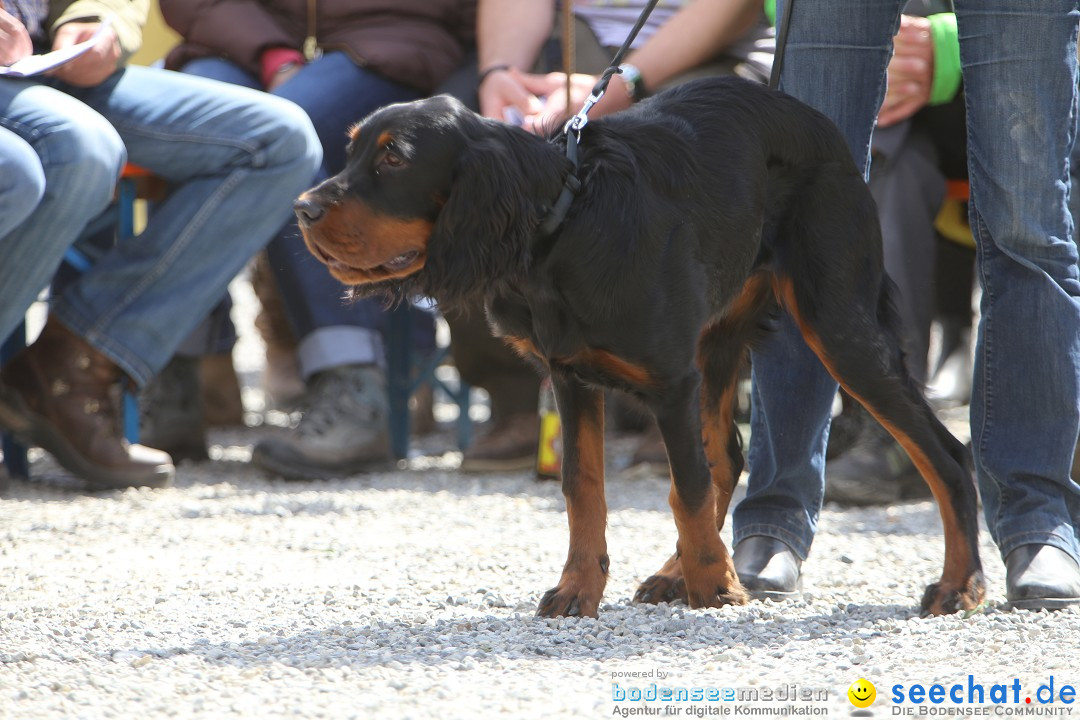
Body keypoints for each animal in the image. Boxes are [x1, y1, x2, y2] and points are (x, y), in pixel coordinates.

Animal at [291, 78, 984, 621]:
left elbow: (686, 487)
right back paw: (677, 573)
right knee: (726, 455)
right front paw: (580, 589)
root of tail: (829, 133)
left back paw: (961, 585)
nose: (301, 208)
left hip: (836, 324)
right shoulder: (572, 377)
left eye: (394, 159)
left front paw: (715, 587)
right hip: (718, 341)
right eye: (352, 150)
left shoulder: (669, 380)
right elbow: (584, 486)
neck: (565, 222)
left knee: (946, 455)